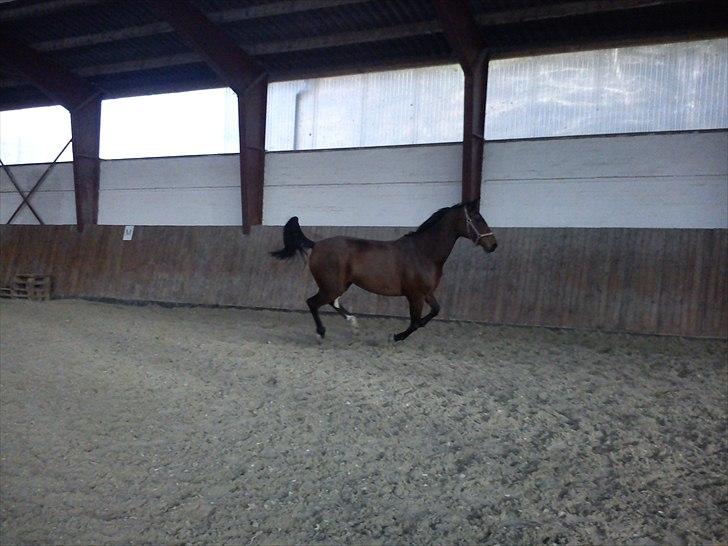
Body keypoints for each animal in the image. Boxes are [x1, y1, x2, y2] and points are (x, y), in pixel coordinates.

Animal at [271, 200, 497, 341]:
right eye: (477, 218)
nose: (493, 245)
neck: (423, 252)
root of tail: (316, 245)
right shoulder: (414, 295)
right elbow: (415, 323)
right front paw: (396, 336)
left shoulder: (426, 293)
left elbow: (434, 312)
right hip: (332, 285)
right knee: (313, 302)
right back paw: (321, 333)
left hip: (339, 285)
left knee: (331, 302)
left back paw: (353, 323)